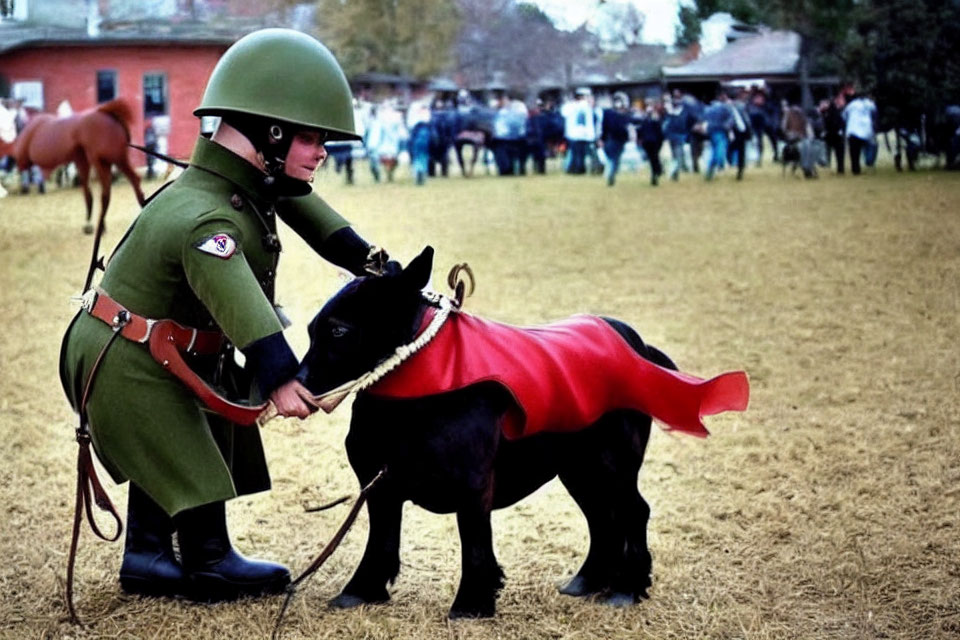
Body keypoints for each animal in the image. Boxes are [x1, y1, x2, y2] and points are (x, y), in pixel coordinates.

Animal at [0, 97, 144, 232]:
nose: (8, 135)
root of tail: (108, 114)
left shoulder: (22, 161)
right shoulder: (80, 160)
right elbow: (86, 190)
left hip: (103, 161)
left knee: (107, 193)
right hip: (115, 160)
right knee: (132, 181)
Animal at [300, 248, 684, 616]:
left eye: (338, 331)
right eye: (310, 330)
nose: (298, 381)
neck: (414, 388)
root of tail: (638, 346)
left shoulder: (472, 484)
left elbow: (474, 544)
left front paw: (471, 603)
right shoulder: (379, 484)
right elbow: (380, 541)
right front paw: (361, 590)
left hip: (612, 464)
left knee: (633, 512)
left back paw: (627, 588)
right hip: (579, 468)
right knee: (602, 517)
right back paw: (588, 580)